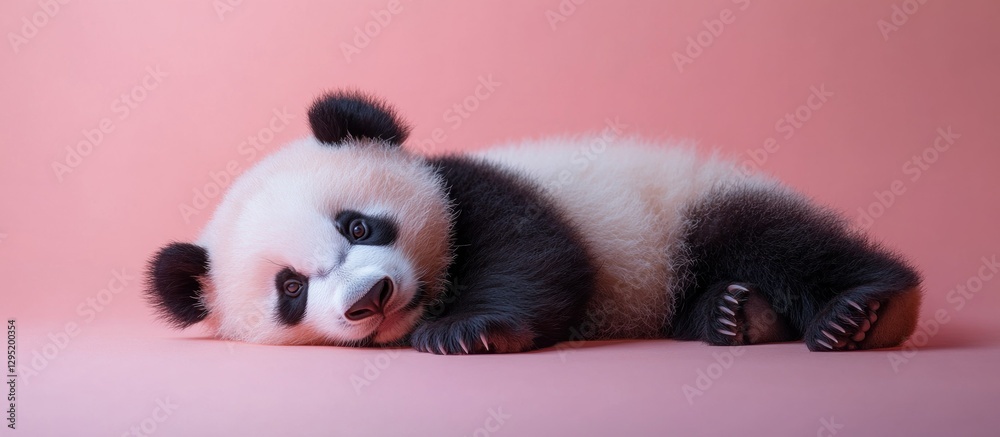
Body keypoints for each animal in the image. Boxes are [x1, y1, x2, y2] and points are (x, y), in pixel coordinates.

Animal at [145, 91, 922, 354]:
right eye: (291, 288)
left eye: (360, 227)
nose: (372, 298)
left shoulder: (474, 187)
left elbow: (539, 254)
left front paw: (470, 331)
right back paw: (738, 316)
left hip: (688, 202)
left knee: (775, 239)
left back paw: (862, 313)